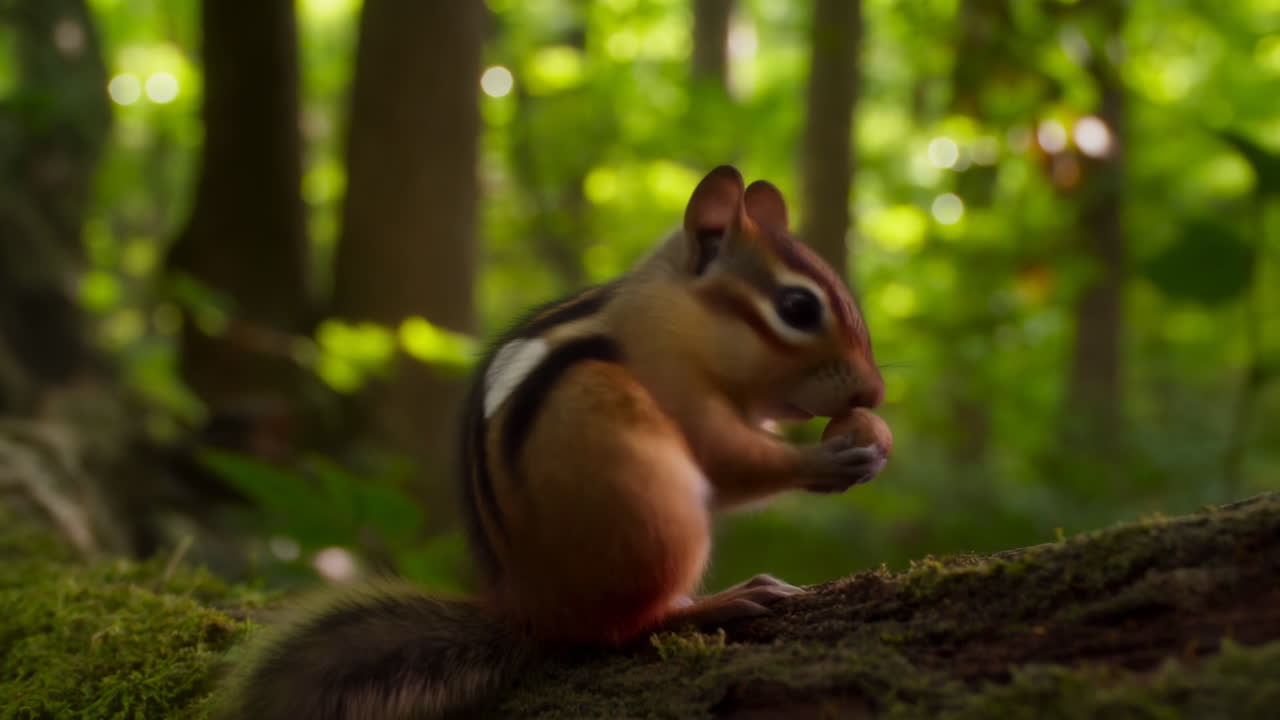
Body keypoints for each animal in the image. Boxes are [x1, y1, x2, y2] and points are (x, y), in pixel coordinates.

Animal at [217, 165, 888, 720]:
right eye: (797, 306)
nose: (875, 394)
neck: (682, 312)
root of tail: (533, 611)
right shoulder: (669, 374)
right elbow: (727, 458)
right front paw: (832, 458)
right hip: (655, 514)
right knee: (622, 629)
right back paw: (717, 602)